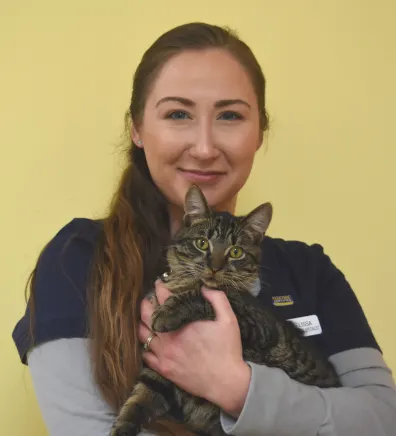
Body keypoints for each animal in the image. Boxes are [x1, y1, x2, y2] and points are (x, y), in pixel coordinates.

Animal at [111, 185, 340, 436]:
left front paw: (168, 311)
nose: (215, 267)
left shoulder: (256, 325)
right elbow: (139, 398)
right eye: (202, 243)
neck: (182, 283)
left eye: (236, 251)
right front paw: (123, 426)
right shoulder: (159, 372)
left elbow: (203, 297)